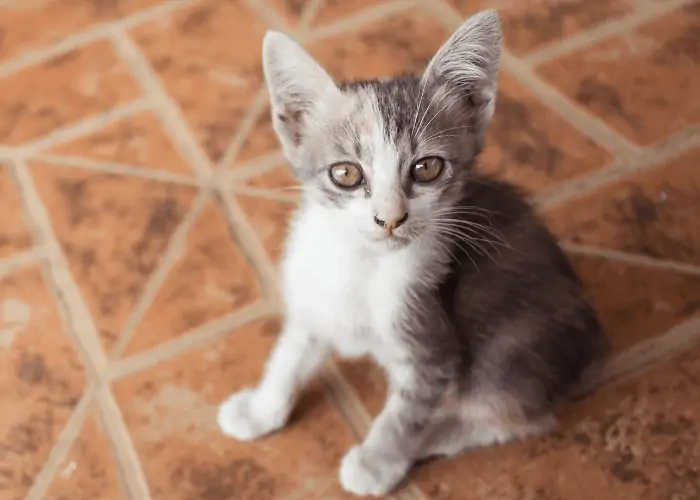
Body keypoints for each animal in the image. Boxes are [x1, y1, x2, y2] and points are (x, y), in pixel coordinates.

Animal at [217, 10, 608, 496]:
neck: (362, 266)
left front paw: (377, 461)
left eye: (427, 167)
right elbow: (289, 354)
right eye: (345, 173)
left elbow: (404, 415)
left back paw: (430, 439)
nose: (390, 218)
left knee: (517, 415)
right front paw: (260, 409)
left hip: (511, 348)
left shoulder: (432, 342)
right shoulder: (315, 297)